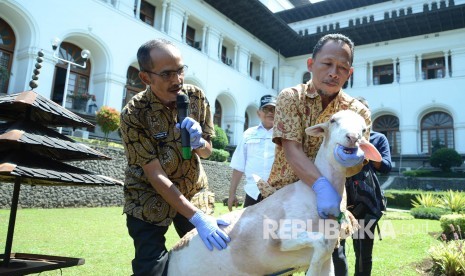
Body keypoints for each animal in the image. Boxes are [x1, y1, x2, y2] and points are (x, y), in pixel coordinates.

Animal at [167, 110, 380, 276]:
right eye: (333, 120)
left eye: (364, 129)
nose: (352, 138)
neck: (314, 195)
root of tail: (172, 253)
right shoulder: (280, 237)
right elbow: (318, 243)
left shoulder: (328, 258)